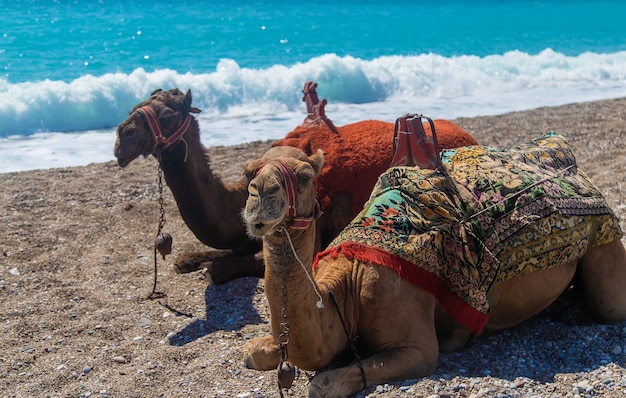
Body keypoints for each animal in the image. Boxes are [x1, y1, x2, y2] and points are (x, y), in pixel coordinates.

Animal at [112, 84, 476, 284]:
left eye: (167, 115)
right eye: (132, 108)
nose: (121, 139)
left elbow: (218, 268)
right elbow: (197, 256)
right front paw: (189, 259)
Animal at [241, 134, 624, 398]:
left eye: (305, 175)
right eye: (248, 174)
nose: (261, 193)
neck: (347, 287)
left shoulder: (418, 347)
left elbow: (321, 385)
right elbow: (253, 352)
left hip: (605, 242)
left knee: (611, 305)